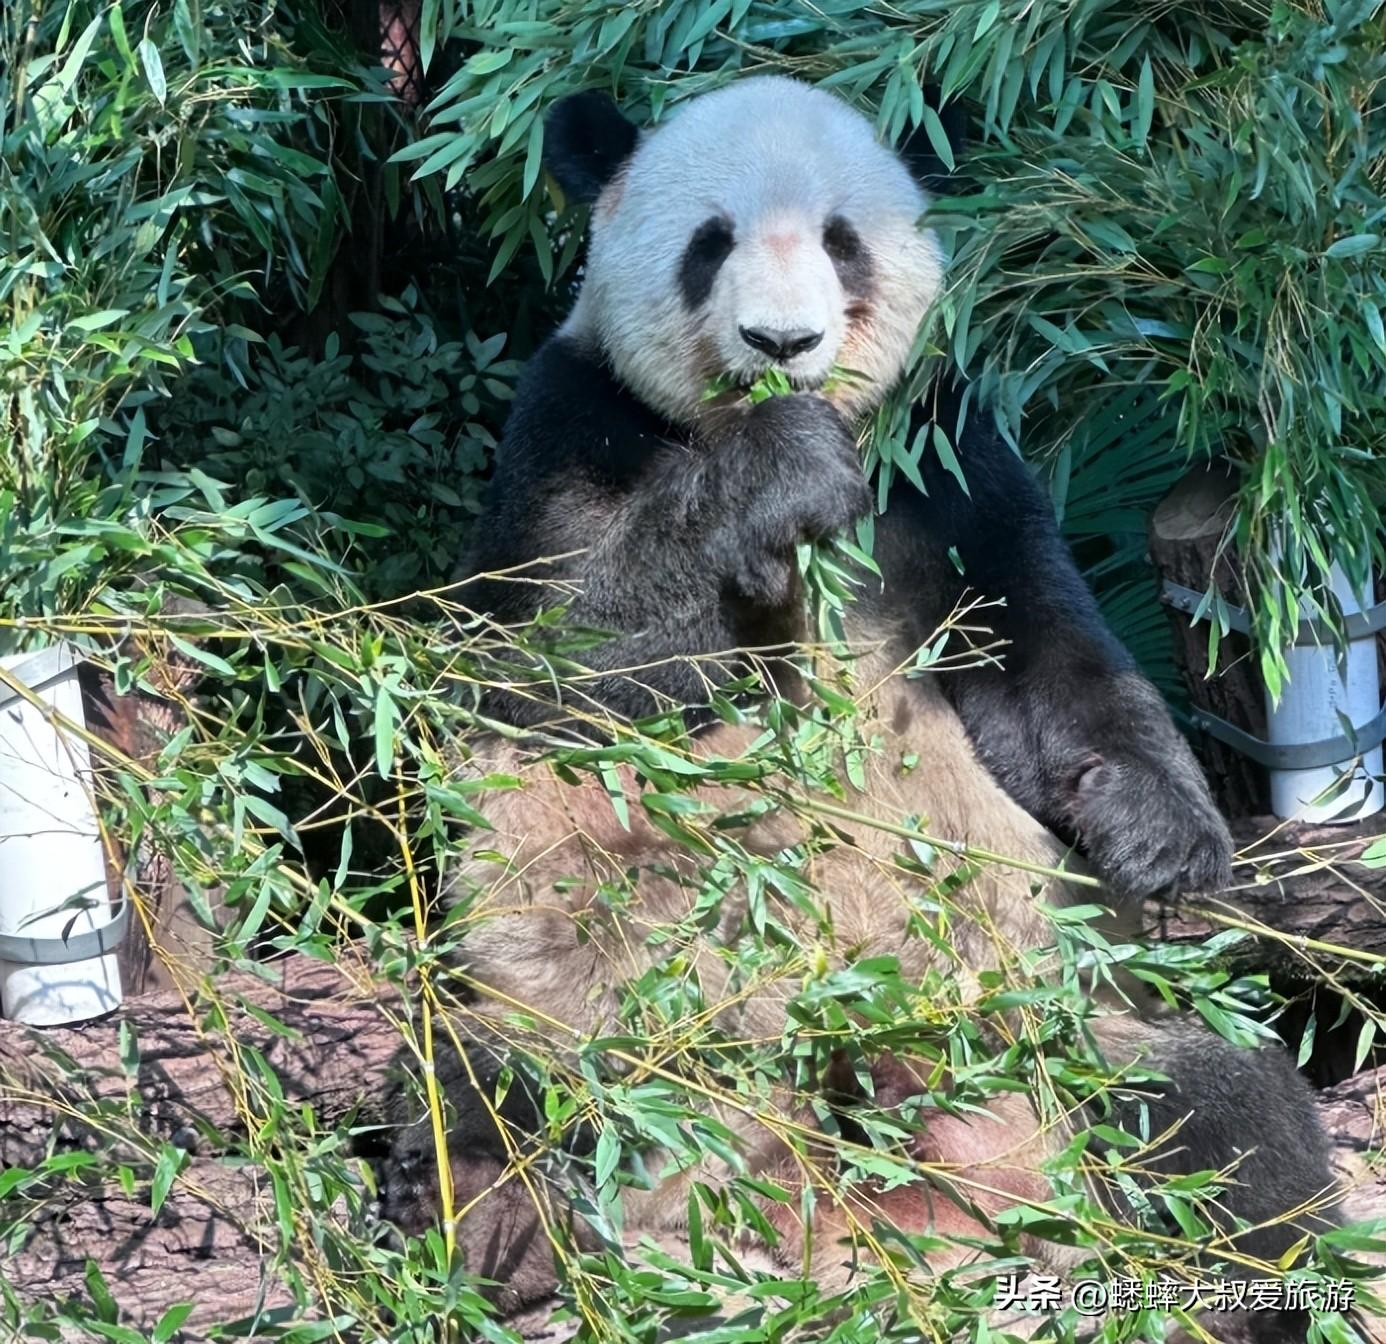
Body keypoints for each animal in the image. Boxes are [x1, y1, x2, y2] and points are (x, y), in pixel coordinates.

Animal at [385, 78, 1336, 1335]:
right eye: (711, 242)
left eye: (843, 242)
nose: (782, 345)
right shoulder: (569, 432)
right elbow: (547, 674)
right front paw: (775, 472)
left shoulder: (948, 467)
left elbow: (1052, 664)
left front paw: (1162, 841)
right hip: (585, 1012)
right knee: (488, 1082)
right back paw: (487, 1225)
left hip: (1061, 1012)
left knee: (1222, 1118)